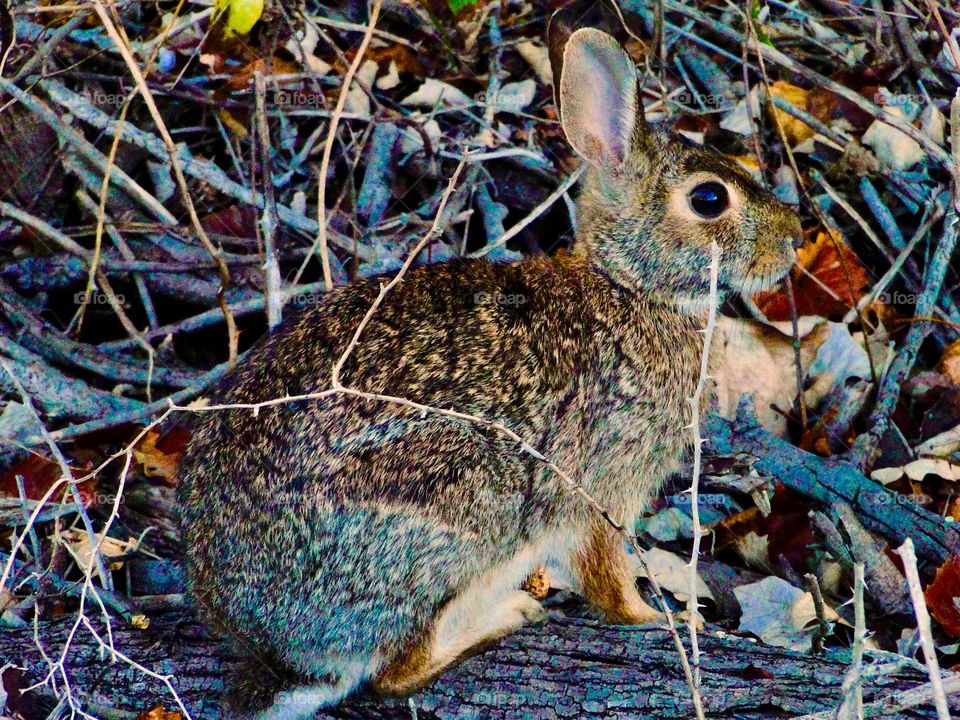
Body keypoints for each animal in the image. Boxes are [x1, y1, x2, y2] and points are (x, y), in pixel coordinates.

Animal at [175, 26, 801, 720]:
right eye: (709, 199)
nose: (794, 236)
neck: (628, 285)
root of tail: (280, 658)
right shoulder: (601, 488)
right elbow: (608, 575)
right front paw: (657, 620)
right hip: (465, 512)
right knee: (397, 670)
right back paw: (504, 618)